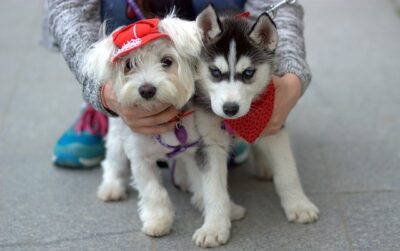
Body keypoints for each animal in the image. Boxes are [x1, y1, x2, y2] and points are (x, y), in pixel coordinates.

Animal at [83, 16, 245, 249]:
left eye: (167, 61)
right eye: (129, 65)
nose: (146, 89)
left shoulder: (196, 148)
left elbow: (206, 183)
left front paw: (223, 209)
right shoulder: (140, 157)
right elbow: (153, 192)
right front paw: (158, 220)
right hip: (117, 135)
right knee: (113, 160)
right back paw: (112, 186)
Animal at [194, 5, 318, 224]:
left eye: (248, 72)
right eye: (215, 72)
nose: (230, 108)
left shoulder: (274, 123)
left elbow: (287, 173)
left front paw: (299, 205)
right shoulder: (209, 142)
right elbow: (214, 191)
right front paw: (215, 225)